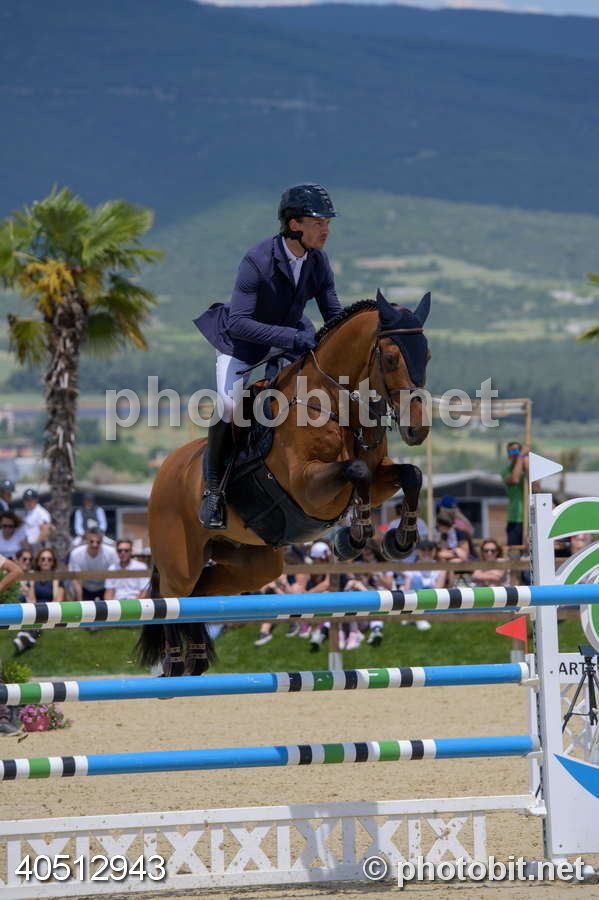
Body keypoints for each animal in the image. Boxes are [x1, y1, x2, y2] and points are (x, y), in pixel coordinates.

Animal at [137, 290, 431, 676]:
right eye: (392, 357)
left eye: (427, 354)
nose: (418, 429)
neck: (337, 404)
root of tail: (164, 473)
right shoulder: (307, 487)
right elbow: (356, 471)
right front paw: (352, 538)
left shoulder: (379, 476)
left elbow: (409, 474)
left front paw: (398, 541)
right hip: (179, 559)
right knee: (169, 598)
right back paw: (173, 665)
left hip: (252, 564)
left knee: (200, 595)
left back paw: (196, 660)